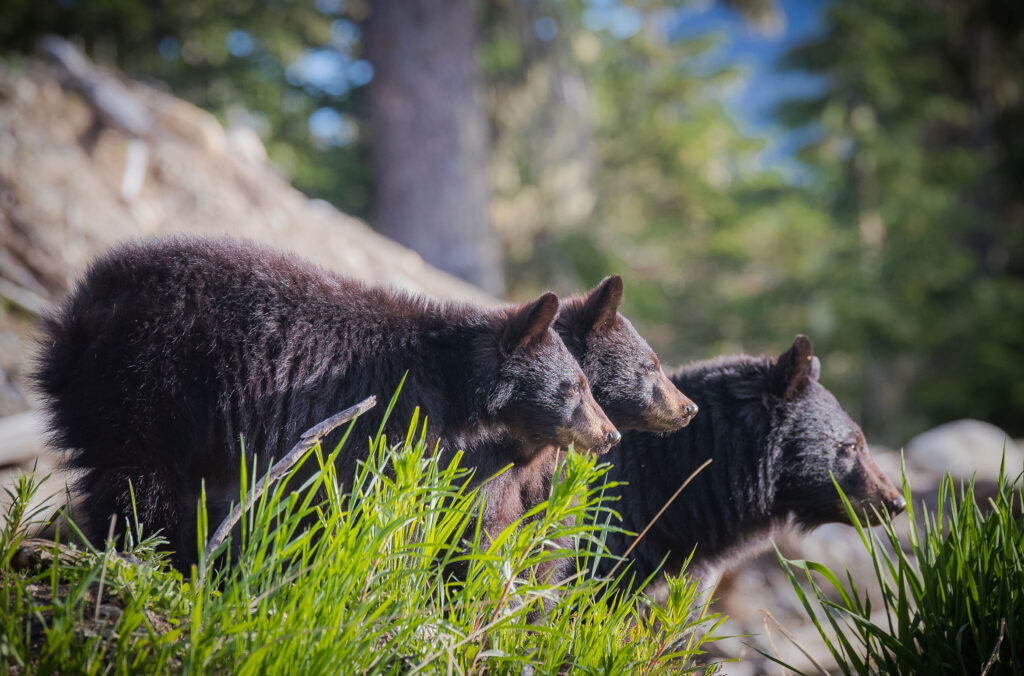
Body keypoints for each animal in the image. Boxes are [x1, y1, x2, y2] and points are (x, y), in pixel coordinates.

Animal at [37, 237, 614, 569]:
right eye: (578, 386)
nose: (610, 434)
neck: (454, 387)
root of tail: (84, 306)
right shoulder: (384, 421)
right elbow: (367, 501)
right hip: (153, 382)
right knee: (140, 480)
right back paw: (151, 551)